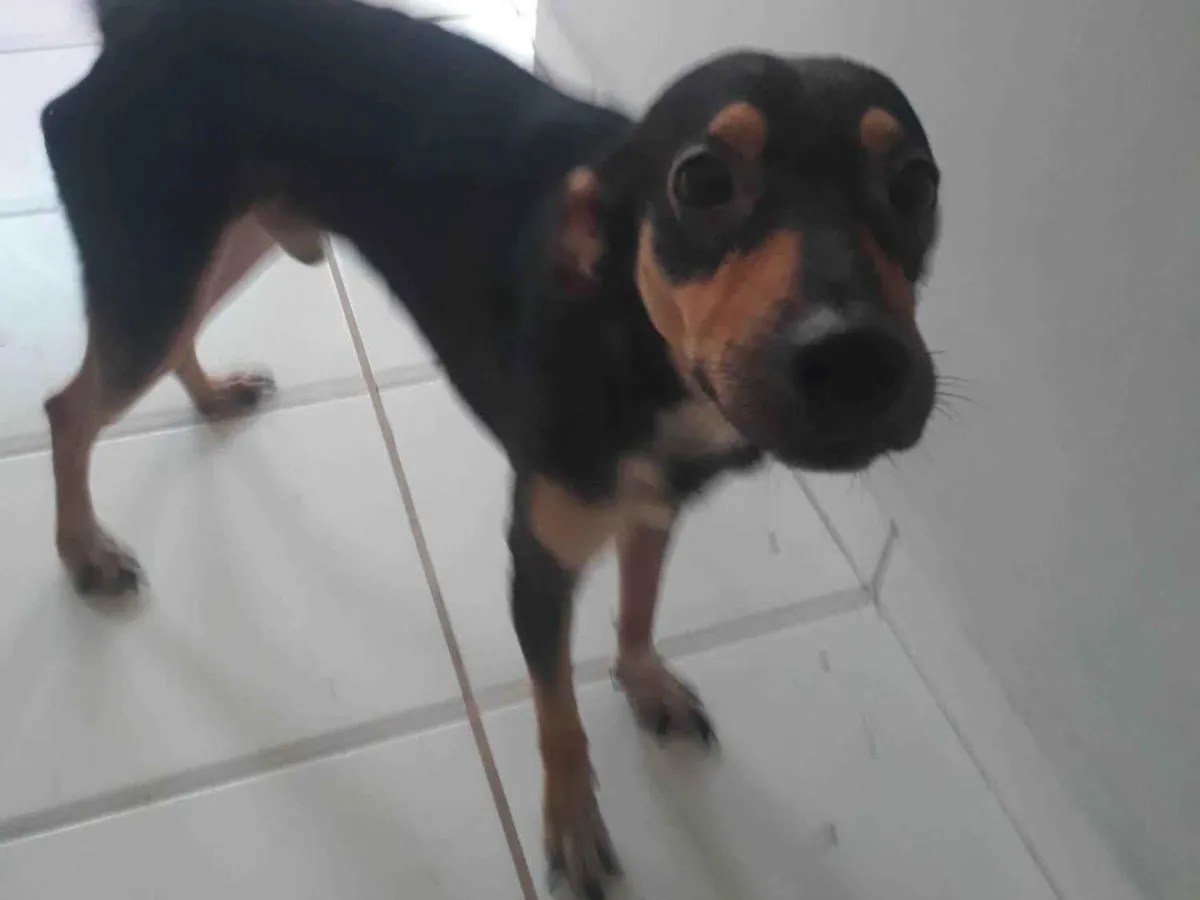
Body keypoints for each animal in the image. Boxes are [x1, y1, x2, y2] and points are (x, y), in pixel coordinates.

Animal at [42, 0, 941, 895]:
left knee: (169, 344)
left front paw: (643, 680)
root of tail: (140, 22)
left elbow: (640, 605)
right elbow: (559, 716)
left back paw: (207, 396)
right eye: (702, 181)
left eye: (917, 186)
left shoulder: (655, 507)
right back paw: (85, 550)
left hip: (208, 252)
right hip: (158, 269)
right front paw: (572, 825)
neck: (635, 342)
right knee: (68, 409)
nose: (858, 362)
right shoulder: (536, 565)